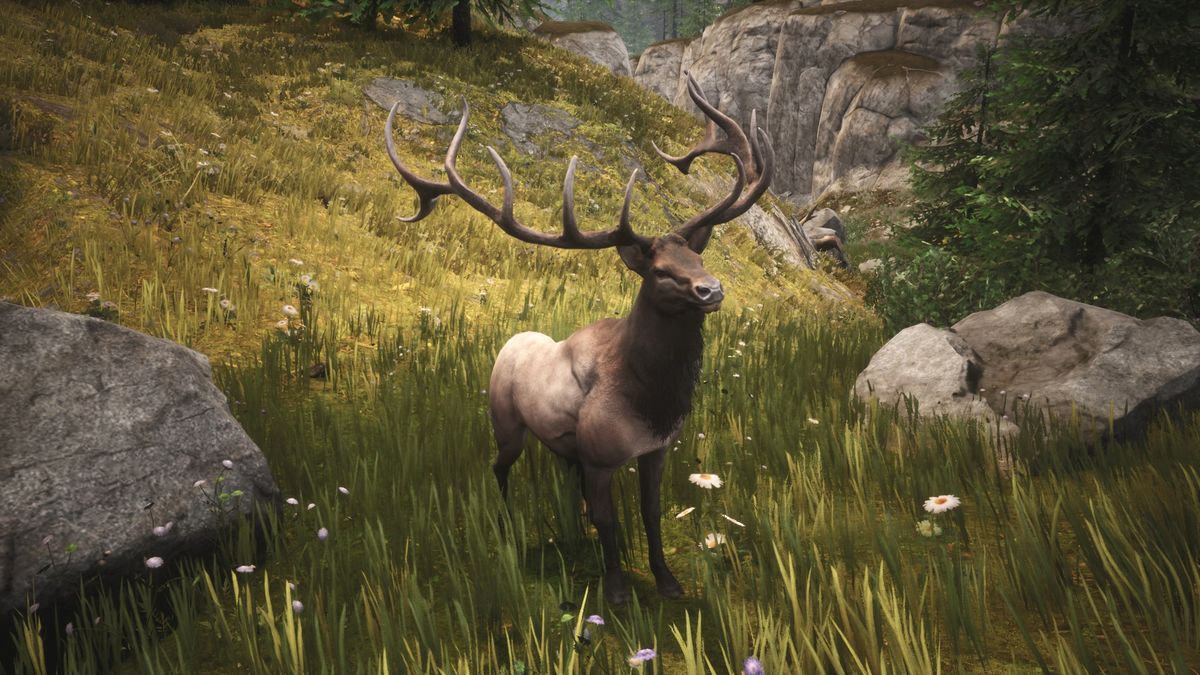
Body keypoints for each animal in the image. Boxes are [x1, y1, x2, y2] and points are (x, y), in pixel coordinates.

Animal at [384, 74, 773, 604]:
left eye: (697, 259)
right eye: (660, 271)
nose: (711, 290)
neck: (650, 398)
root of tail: (509, 343)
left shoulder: (656, 449)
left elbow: (651, 514)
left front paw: (667, 581)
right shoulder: (601, 455)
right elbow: (610, 522)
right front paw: (616, 591)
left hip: (564, 446)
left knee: (566, 484)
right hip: (506, 422)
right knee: (499, 467)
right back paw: (506, 523)